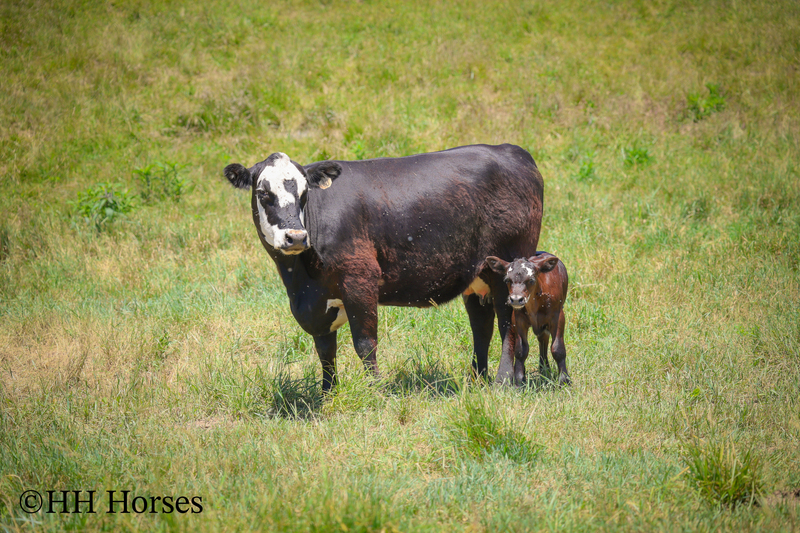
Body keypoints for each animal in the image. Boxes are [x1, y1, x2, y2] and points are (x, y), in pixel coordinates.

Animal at [223, 144, 544, 392]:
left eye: (304, 194)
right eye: (263, 193)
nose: (297, 237)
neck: (300, 280)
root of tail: (512, 151)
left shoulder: (359, 280)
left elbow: (365, 344)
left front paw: (375, 390)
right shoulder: (316, 304)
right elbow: (325, 351)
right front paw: (328, 394)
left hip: (506, 272)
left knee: (508, 324)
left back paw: (503, 381)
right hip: (476, 277)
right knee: (482, 326)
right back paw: (477, 379)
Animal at [485, 252, 571, 386]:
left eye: (531, 280)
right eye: (507, 280)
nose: (516, 299)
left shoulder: (558, 317)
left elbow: (558, 348)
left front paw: (564, 380)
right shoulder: (518, 320)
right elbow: (521, 350)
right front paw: (519, 381)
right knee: (543, 339)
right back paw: (544, 368)